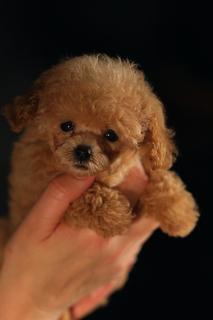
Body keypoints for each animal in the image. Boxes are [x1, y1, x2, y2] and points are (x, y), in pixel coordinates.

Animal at [0, 55, 199, 320]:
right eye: (66, 126)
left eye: (111, 135)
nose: (83, 151)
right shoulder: (36, 191)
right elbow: (84, 197)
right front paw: (116, 215)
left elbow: (158, 177)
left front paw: (179, 210)